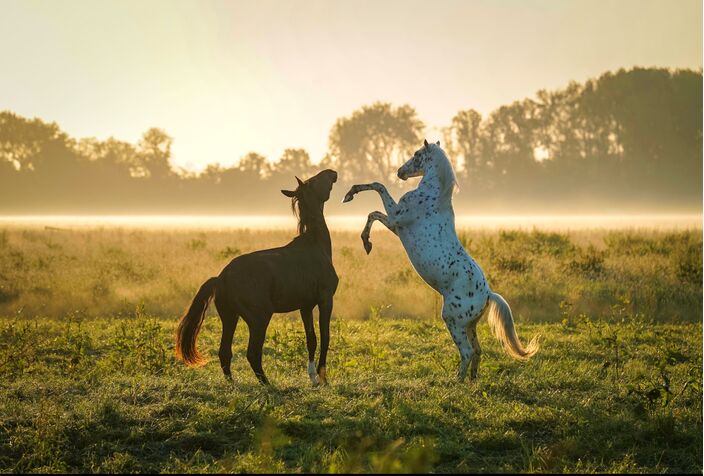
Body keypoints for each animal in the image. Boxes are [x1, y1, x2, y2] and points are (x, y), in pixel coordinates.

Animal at [177, 169, 340, 384]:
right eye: (313, 181)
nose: (332, 173)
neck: (315, 245)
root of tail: (221, 278)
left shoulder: (305, 306)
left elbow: (311, 339)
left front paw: (313, 378)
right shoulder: (325, 299)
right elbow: (325, 336)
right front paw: (322, 379)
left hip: (230, 317)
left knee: (225, 352)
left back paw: (233, 383)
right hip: (259, 318)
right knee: (252, 352)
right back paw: (267, 384)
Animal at [342, 139, 540, 382]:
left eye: (416, 154)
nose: (400, 172)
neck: (433, 195)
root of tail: (487, 295)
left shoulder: (395, 219)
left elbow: (376, 196)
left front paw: (364, 235)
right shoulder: (396, 227)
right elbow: (374, 208)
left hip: (453, 320)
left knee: (467, 351)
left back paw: (456, 382)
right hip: (470, 325)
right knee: (477, 350)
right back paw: (472, 381)